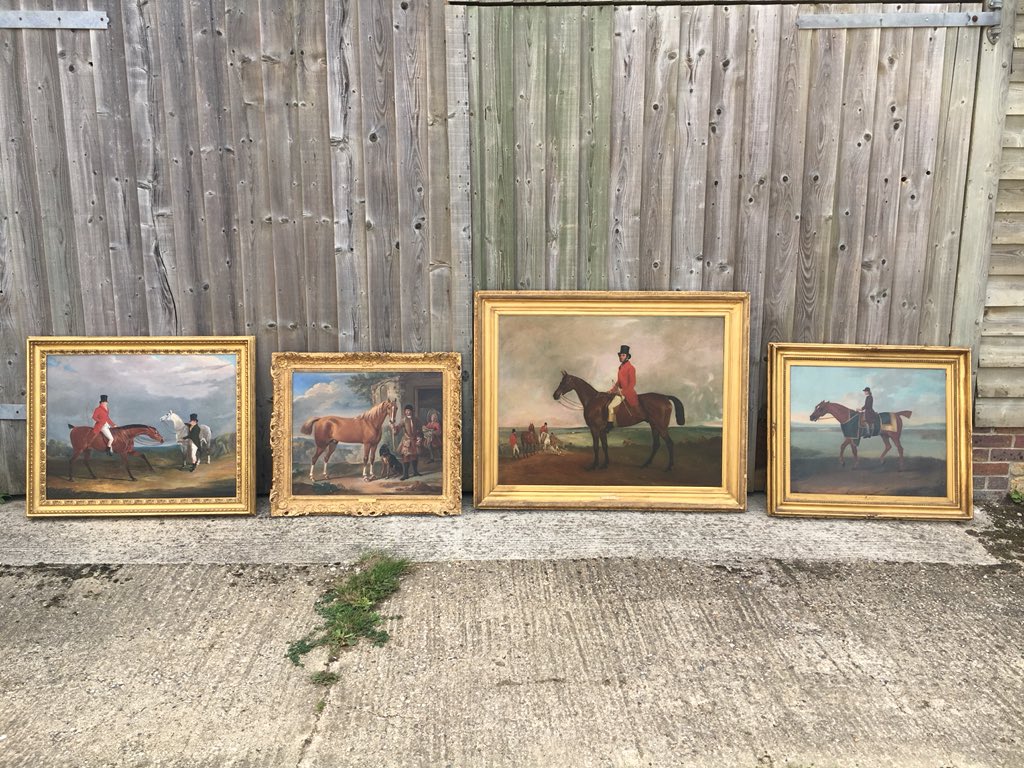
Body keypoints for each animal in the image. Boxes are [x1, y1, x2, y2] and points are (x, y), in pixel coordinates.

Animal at [552, 370, 688, 473]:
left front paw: (594, 465)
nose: (555, 395)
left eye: (565, 382)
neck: (593, 400)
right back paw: (646, 464)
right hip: (654, 426)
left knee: (669, 443)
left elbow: (596, 447)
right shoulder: (602, 430)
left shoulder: (594, 428)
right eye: (560, 381)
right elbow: (605, 446)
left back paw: (669, 467)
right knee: (656, 444)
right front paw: (605, 464)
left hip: (661, 426)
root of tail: (665, 397)